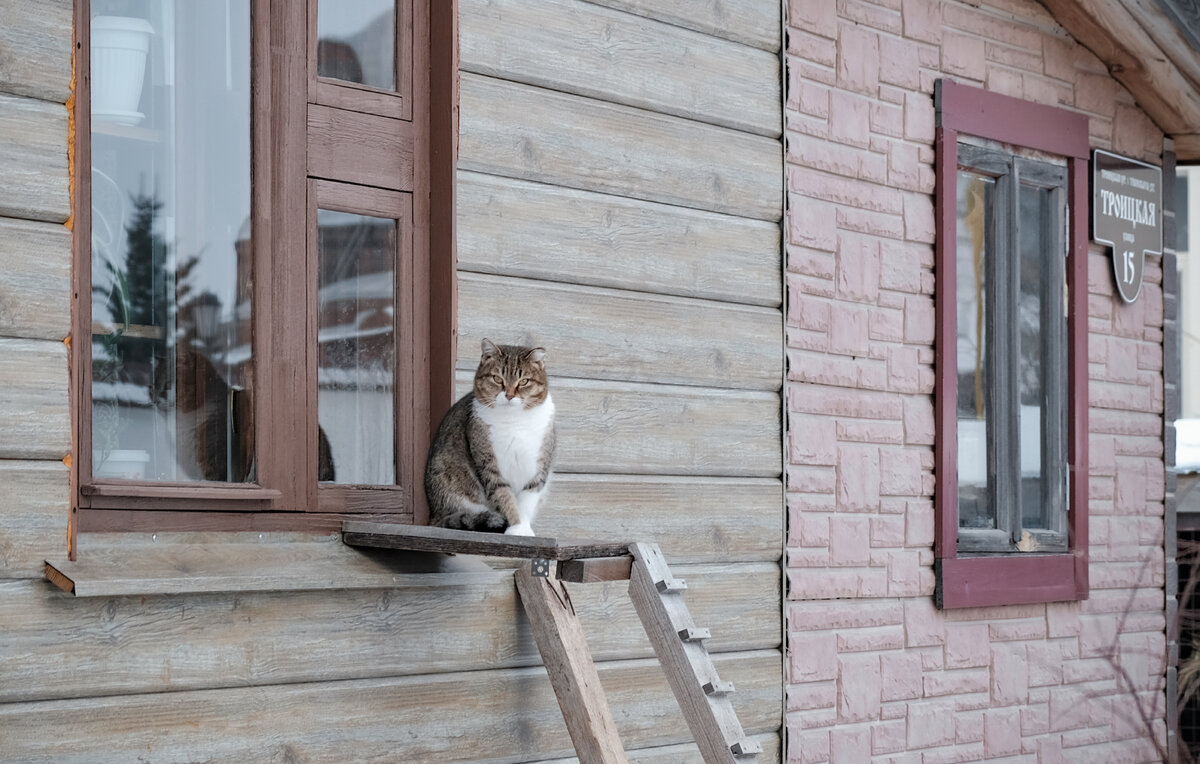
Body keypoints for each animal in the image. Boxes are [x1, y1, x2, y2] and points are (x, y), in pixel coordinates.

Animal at [427, 335, 556, 532]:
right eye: (497, 378)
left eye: (524, 381)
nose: (509, 395)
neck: (514, 421)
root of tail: (434, 515)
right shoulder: (489, 465)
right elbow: (504, 495)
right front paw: (516, 528)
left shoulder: (539, 467)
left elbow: (527, 499)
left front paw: (524, 530)